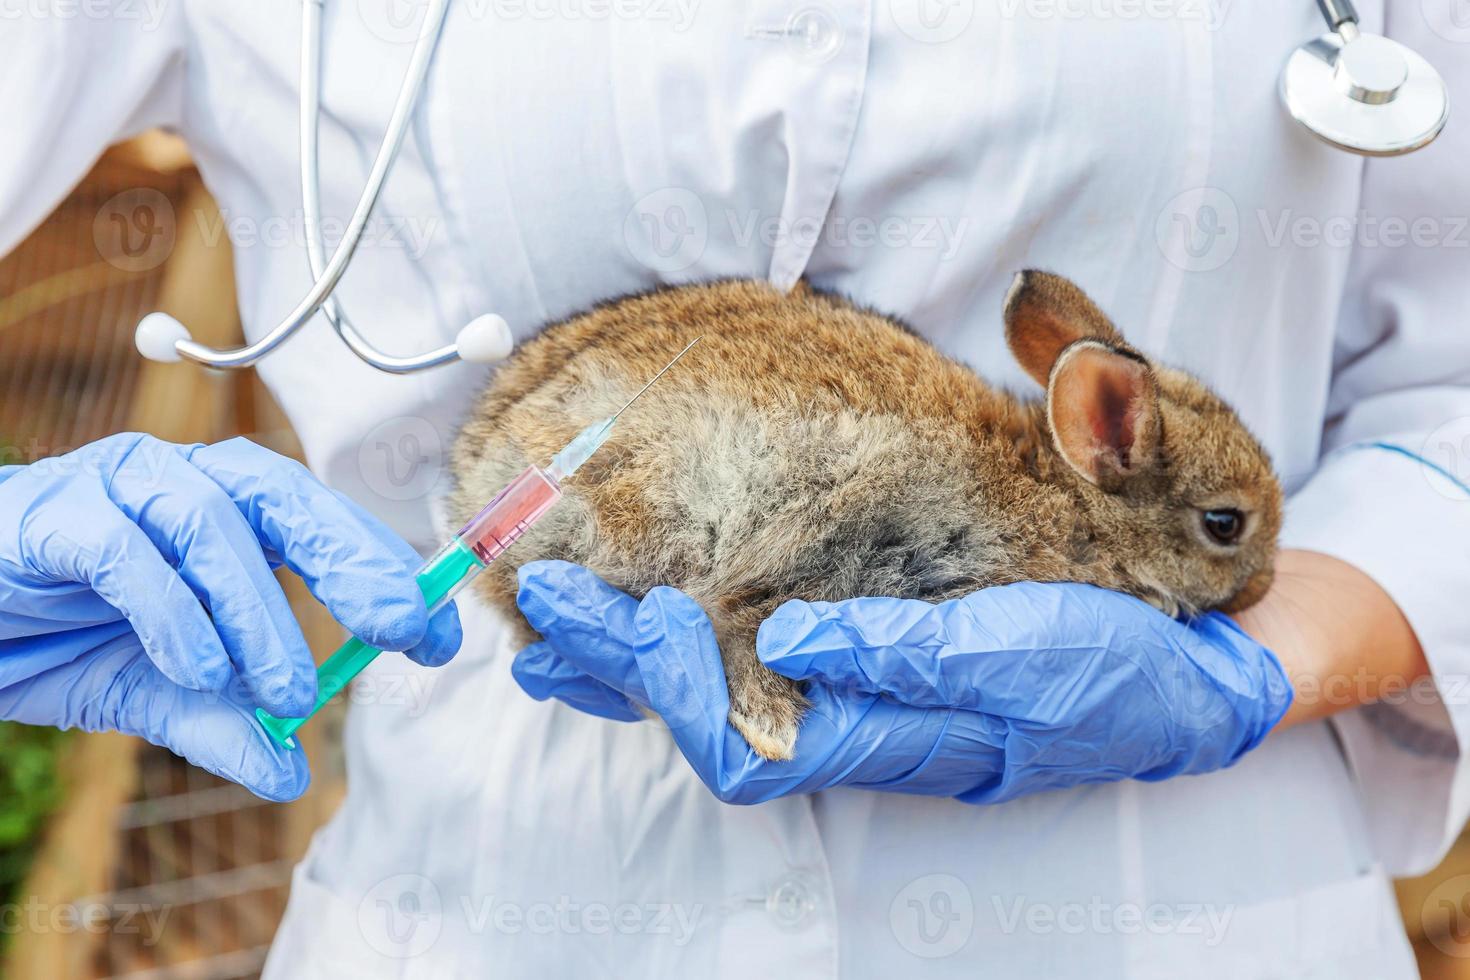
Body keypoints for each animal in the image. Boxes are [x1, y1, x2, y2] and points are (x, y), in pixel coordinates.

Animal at [449, 271, 1287, 764]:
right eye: (1225, 524)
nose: (1266, 588)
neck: (1072, 497)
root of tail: (479, 484)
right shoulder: (853, 514)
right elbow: (734, 612)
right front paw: (772, 730)